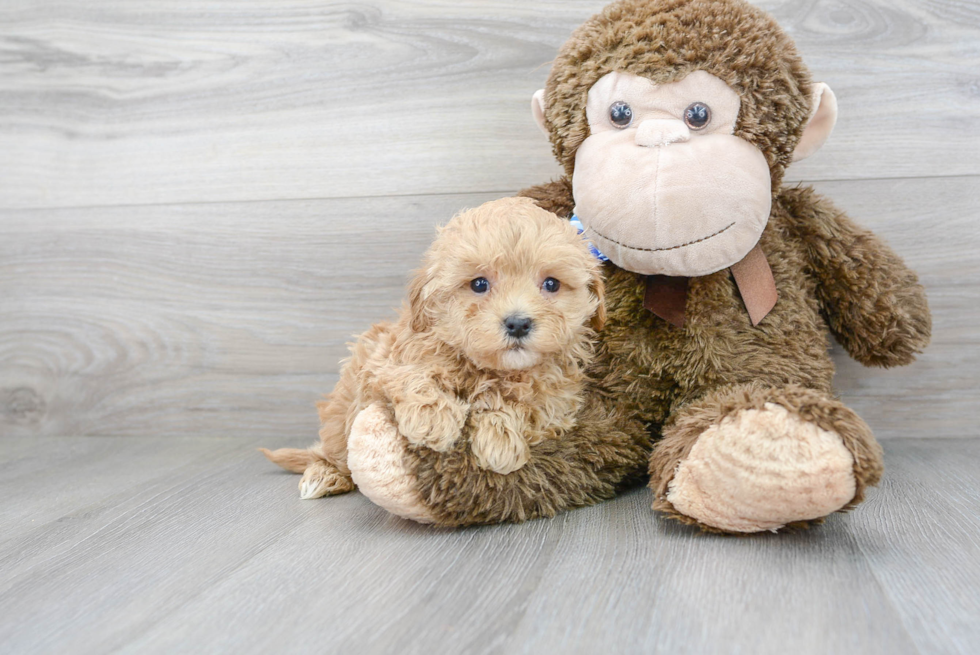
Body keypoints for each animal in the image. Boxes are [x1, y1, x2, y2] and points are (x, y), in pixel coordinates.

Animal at [264, 197, 608, 500]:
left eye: (551, 284)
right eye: (479, 284)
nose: (518, 323)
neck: (490, 368)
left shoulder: (557, 407)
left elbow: (519, 404)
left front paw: (499, 436)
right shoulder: (384, 364)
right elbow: (412, 375)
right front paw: (433, 418)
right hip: (343, 408)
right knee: (331, 450)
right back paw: (325, 474)